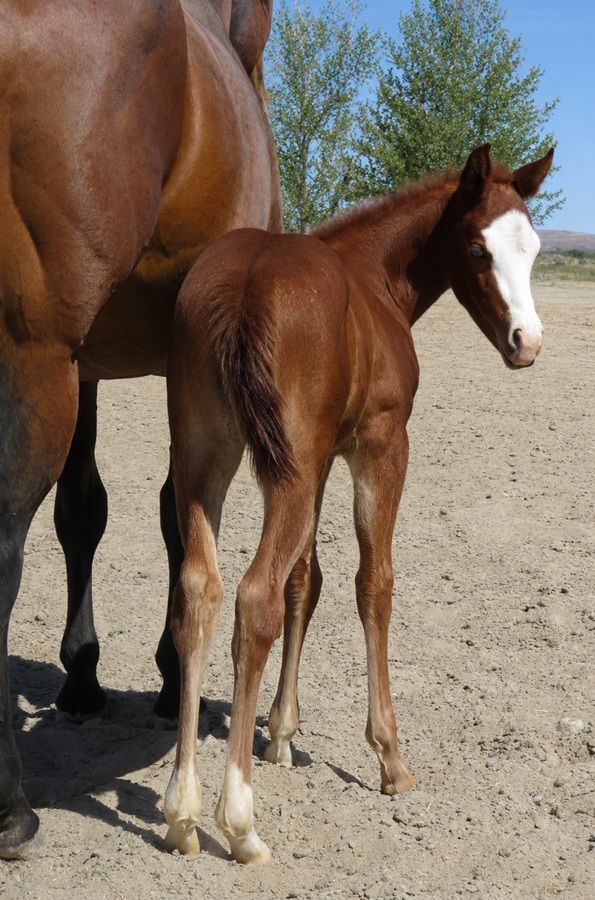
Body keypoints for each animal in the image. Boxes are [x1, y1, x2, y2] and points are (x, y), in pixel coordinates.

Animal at [0, 0, 279, 860]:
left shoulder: (88, 363)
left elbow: (84, 509)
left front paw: (83, 676)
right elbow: (175, 515)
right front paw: (165, 675)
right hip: (32, 355)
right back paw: (11, 807)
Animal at [163, 144, 553, 862]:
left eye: (534, 248)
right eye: (478, 249)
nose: (527, 342)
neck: (373, 279)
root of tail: (241, 289)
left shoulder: (315, 464)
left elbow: (306, 582)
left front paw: (283, 733)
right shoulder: (380, 444)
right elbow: (373, 584)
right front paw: (390, 757)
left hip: (205, 461)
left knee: (200, 590)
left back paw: (181, 813)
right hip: (281, 468)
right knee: (252, 598)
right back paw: (239, 822)